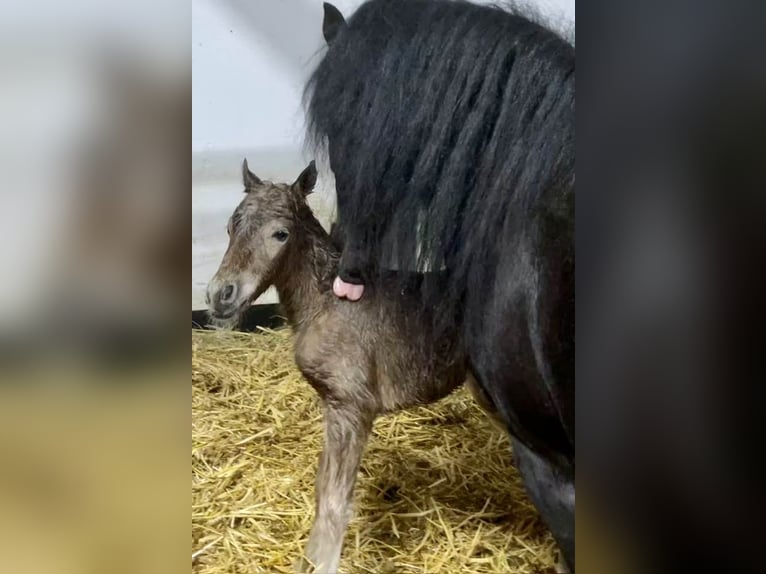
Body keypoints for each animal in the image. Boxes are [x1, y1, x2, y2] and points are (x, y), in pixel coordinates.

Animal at [206, 162, 486, 574]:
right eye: (230, 226)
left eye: (280, 234)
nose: (220, 295)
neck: (327, 302)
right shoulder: (331, 405)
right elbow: (322, 488)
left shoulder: (352, 408)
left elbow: (335, 503)